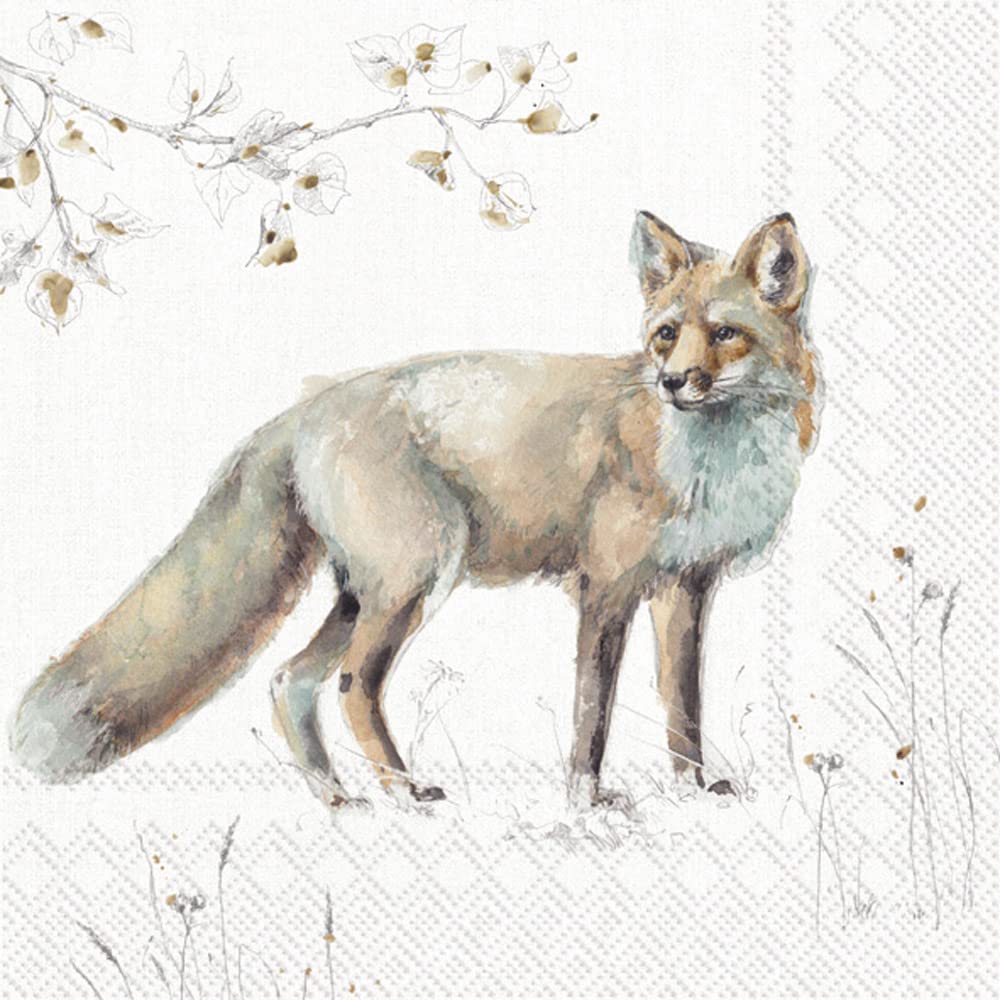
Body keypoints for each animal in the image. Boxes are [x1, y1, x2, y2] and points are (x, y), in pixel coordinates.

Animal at [11, 211, 821, 809]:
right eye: (665, 335)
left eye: (725, 334)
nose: (673, 382)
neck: (710, 463)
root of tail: (305, 407)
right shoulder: (606, 588)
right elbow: (592, 714)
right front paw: (587, 802)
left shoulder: (687, 586)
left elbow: (683, 702)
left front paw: (698, 789)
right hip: (416, 579)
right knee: (351, 686)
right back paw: (403, 790)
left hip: (365, 591)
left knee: (289, 680)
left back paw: (338, 801)